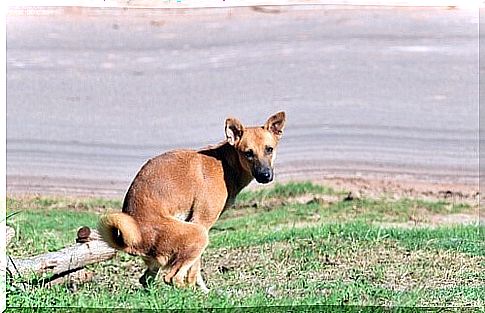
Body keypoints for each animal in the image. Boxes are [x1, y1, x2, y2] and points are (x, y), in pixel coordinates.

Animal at [99, 111, 286, 290]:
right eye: (248, 153)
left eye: (269, 149)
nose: (265, 175)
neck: (225, 164)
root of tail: (135, 239)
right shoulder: (201, 221)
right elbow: (194, 271)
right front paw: (200, 291)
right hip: (198, 234)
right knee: (172, 278)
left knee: (146, 280)